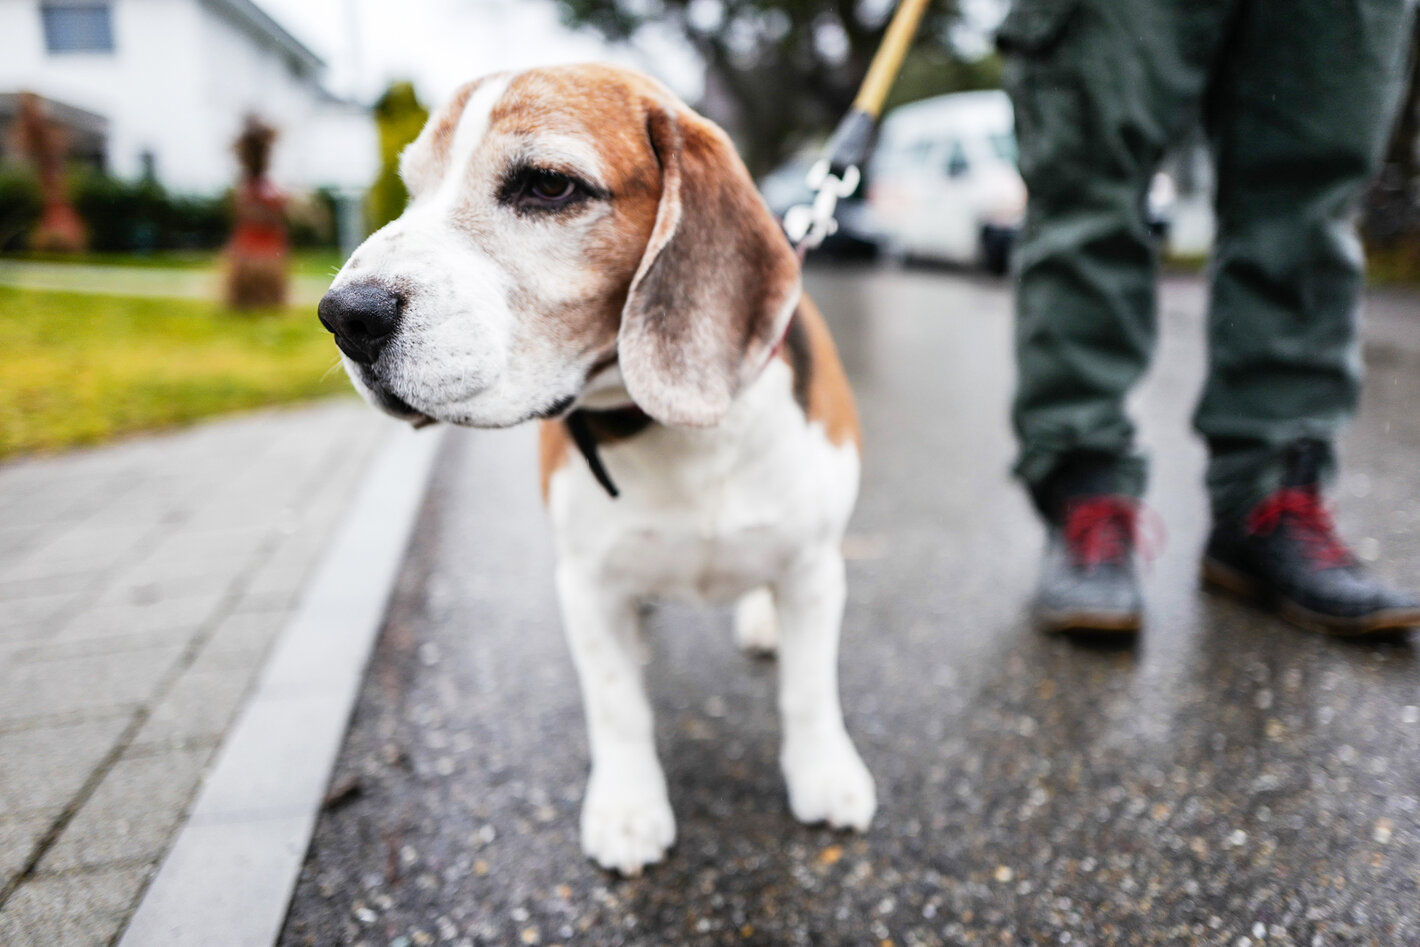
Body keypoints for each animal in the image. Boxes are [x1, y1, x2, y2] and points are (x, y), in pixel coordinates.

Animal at [319, 62, 874, 880]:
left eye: (548, 185)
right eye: (412, 188)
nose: (343, 316)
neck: (672, 431)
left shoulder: (814, 565)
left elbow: (810, 687)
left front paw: (825, 774)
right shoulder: (585, 583)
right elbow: (617, 703)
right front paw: (628, 808)